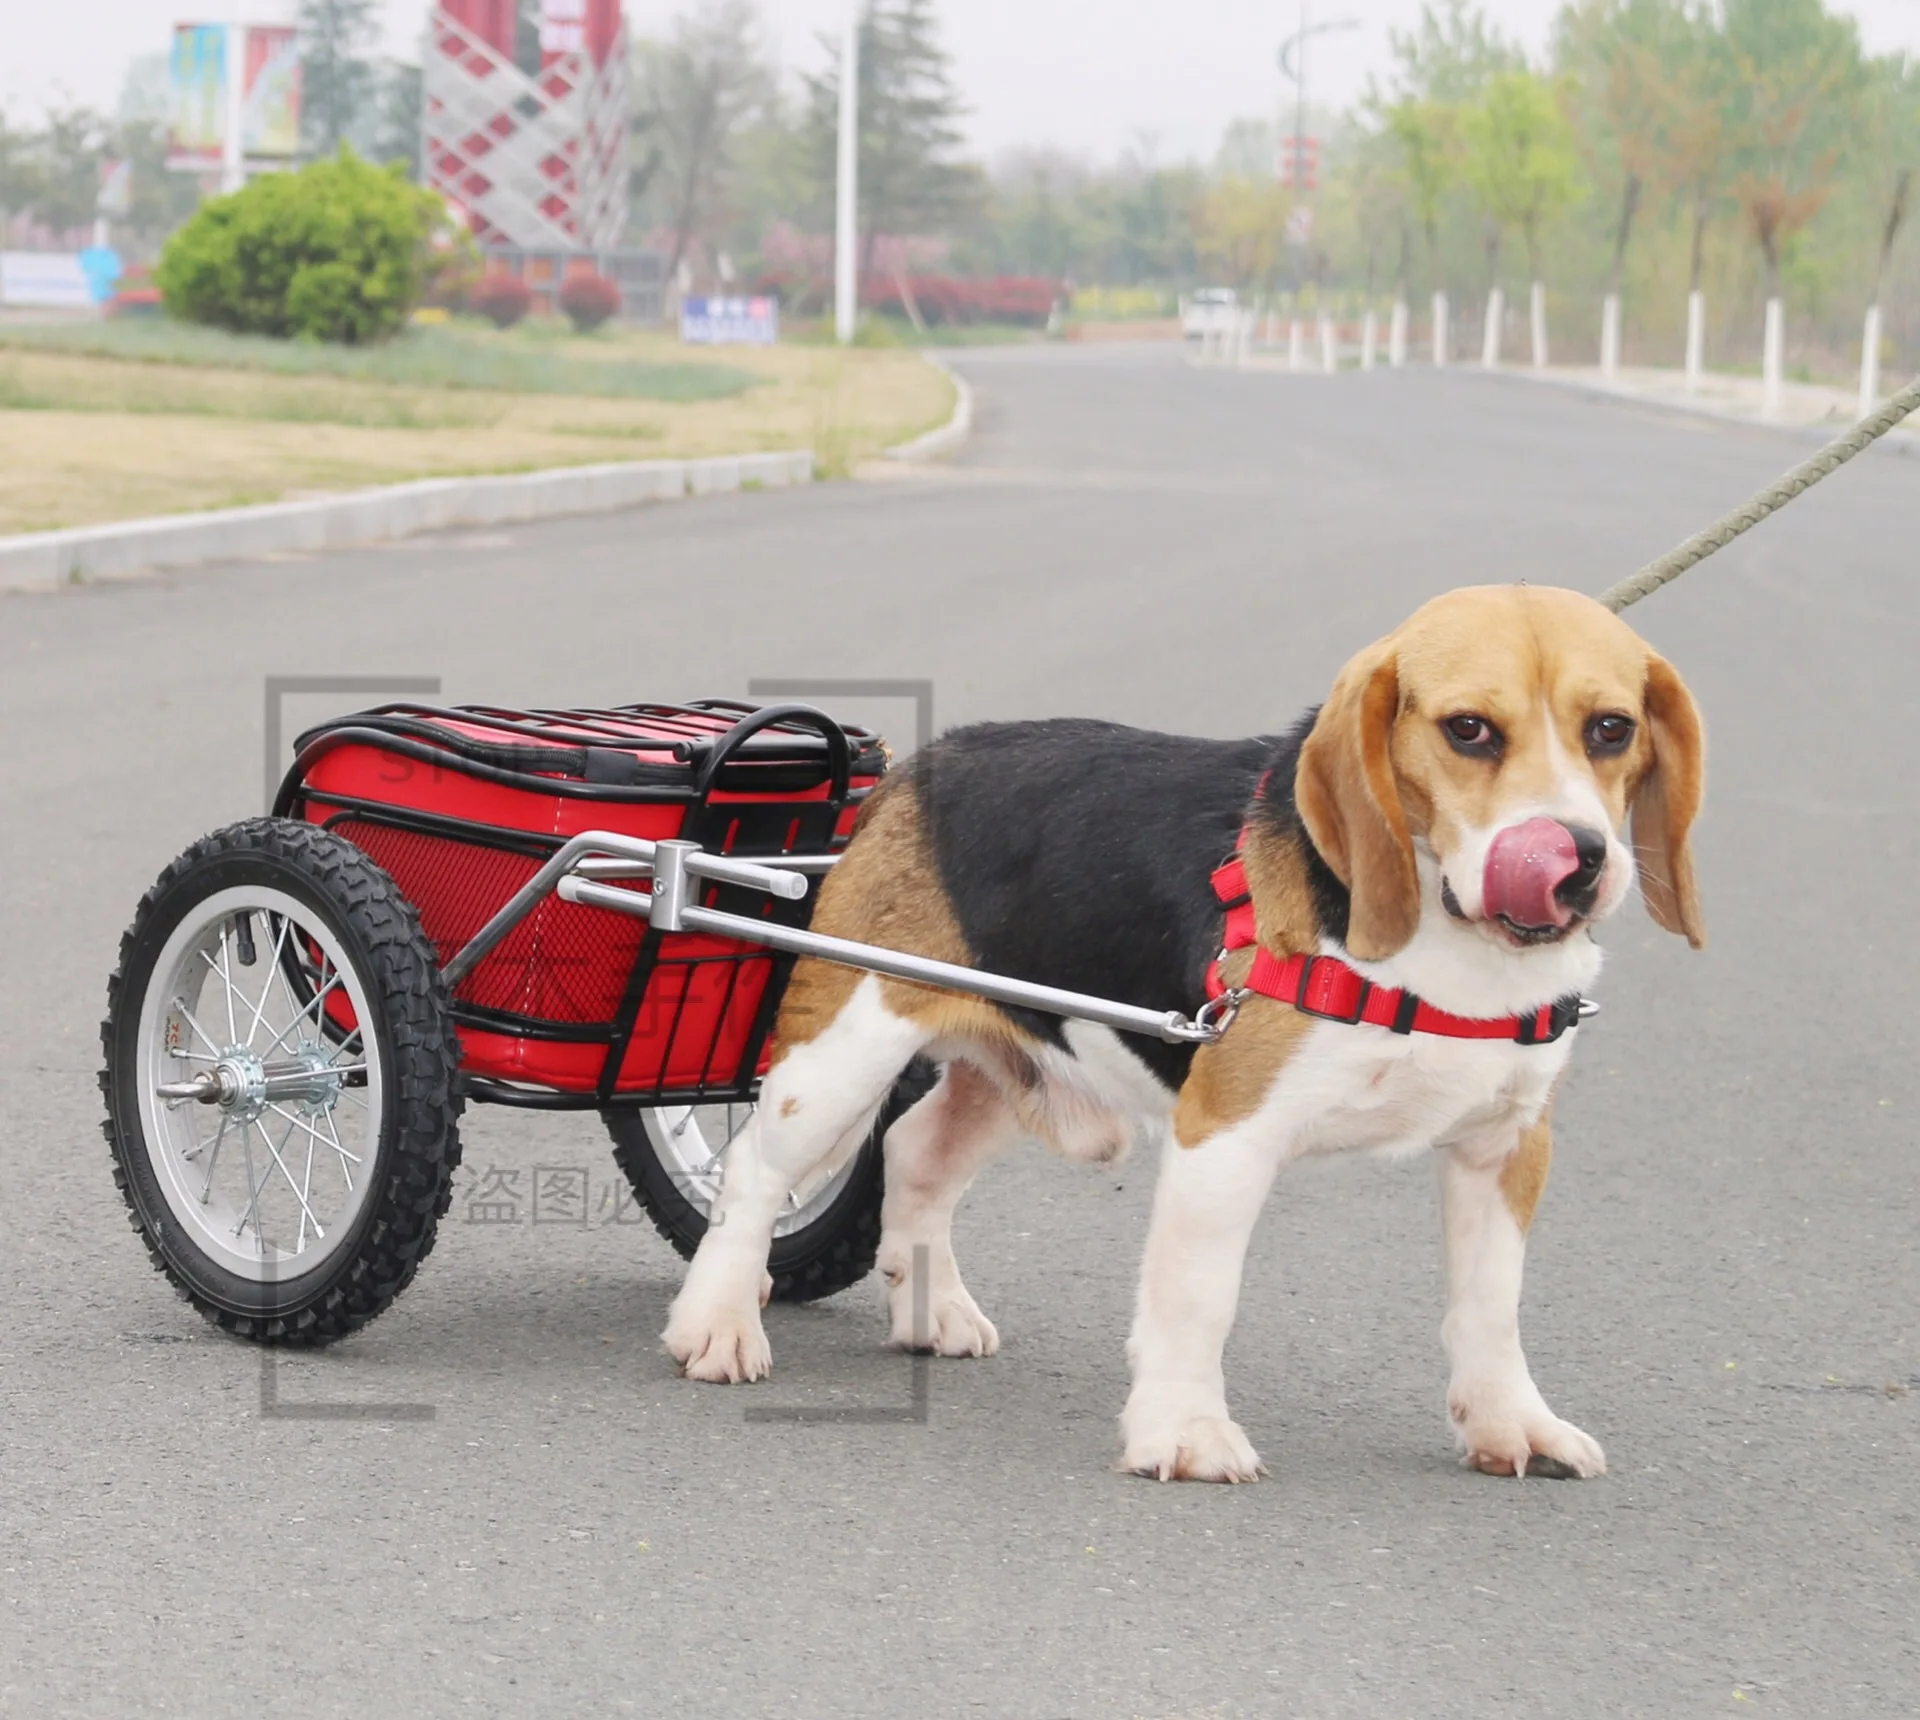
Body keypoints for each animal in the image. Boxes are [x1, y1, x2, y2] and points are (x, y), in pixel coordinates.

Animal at [668, 583, 1704, 1481]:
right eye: (1469, 730)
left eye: (1611, 729)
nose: (1578, 863)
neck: (1449, 942)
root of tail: (927, 762)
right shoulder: (1227, 1138)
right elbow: (1200, 1297)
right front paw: (1186, 1433)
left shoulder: (1506, 1145)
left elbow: (1491, 1306)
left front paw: (1510, 1424)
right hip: (844, 1051)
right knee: (755, 1173)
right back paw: (718, 1321)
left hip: (1021, 1056)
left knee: (916, 1150)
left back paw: (937, 1311)